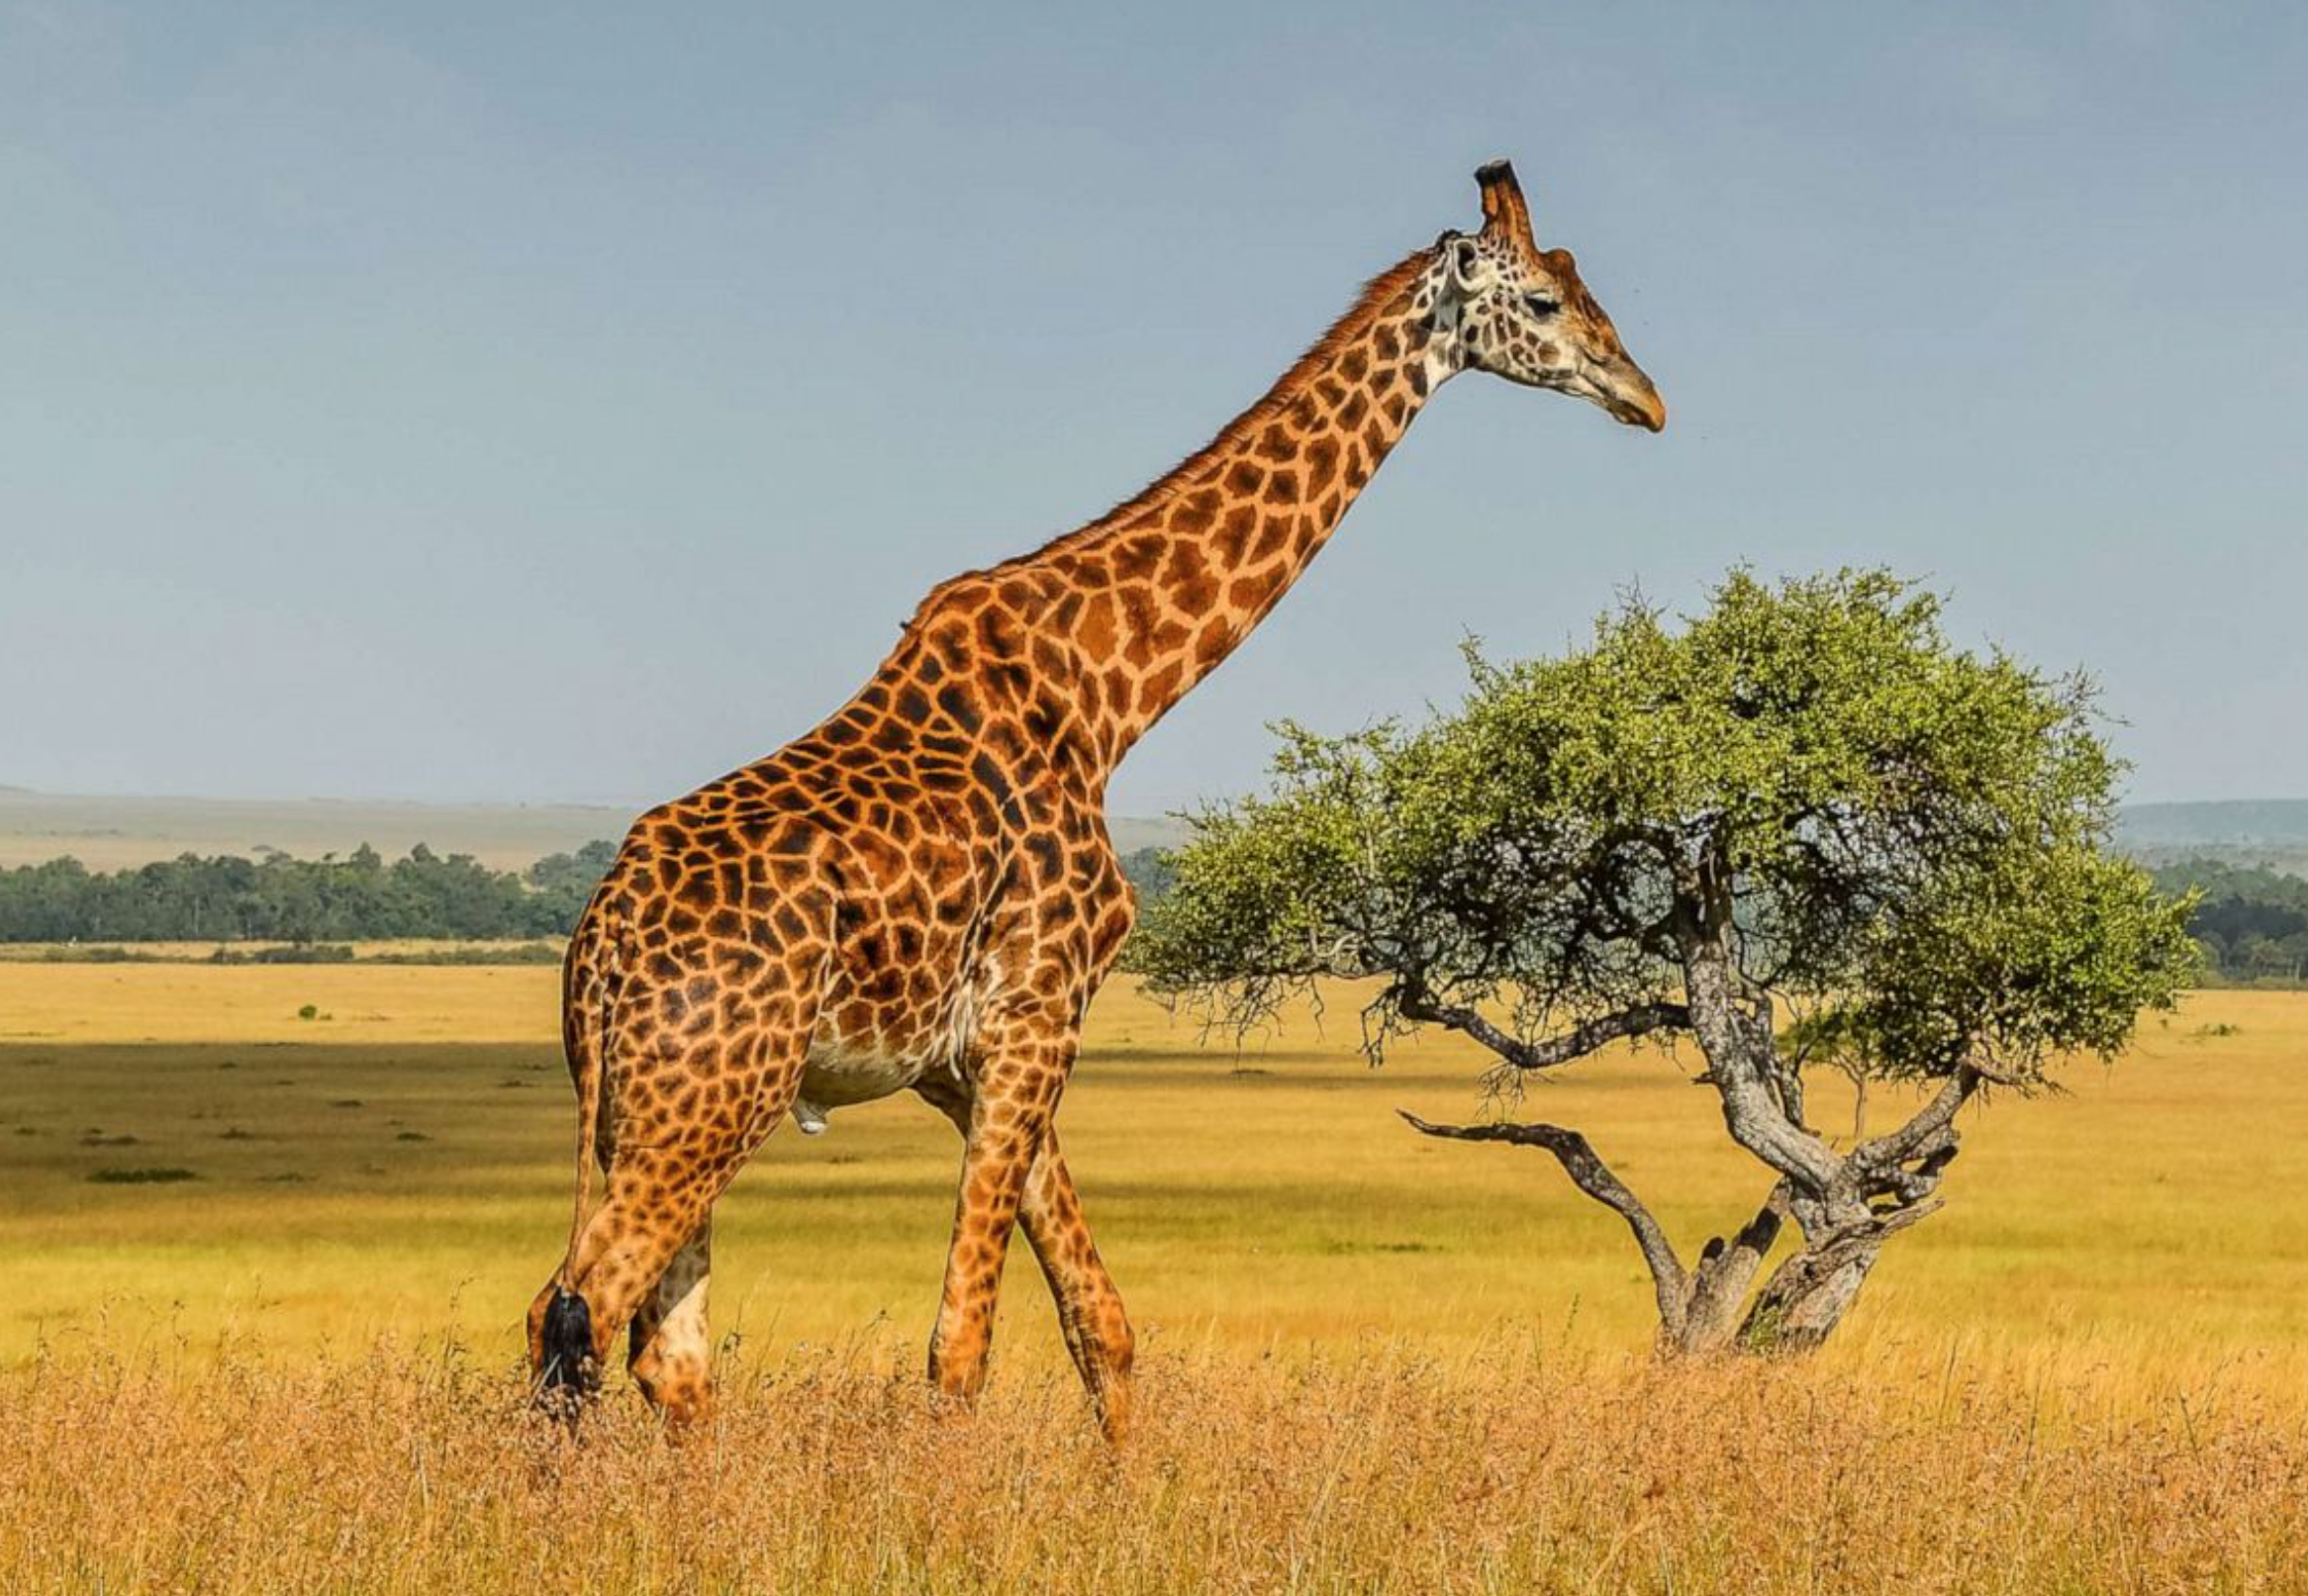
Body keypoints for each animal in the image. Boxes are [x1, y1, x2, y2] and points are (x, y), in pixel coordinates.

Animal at [530, 158, 1671, 1430]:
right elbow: (960, 1348)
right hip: (708, 1098)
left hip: (657, 1104)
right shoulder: (1037, 1011)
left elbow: (1101, 1327)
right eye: (1545, 303)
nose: (1645, 398)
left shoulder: (972, 1058)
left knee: (659, 1350)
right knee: (574, 1314)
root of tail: (599, 950)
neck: (1109, 696)